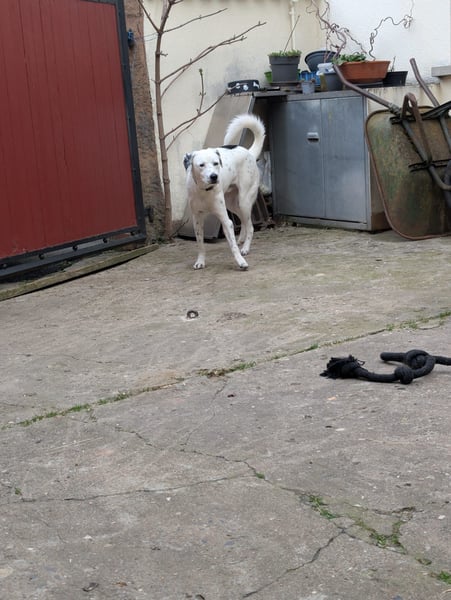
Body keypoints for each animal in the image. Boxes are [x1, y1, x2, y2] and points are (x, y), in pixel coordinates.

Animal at [183, 113, 265, 270]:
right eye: (201, 165)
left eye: (216, 163)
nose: (214, 176)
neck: (204, 191)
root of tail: (249, 153)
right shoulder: (197, 220)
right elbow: (200, 244)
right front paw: (200, 261)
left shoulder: (225, 220)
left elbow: (232, 246)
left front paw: (241, 261)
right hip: (232, 204)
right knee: (244, 222)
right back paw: (241, 240)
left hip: (244, 201)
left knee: (250, 226)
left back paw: (245, 248)